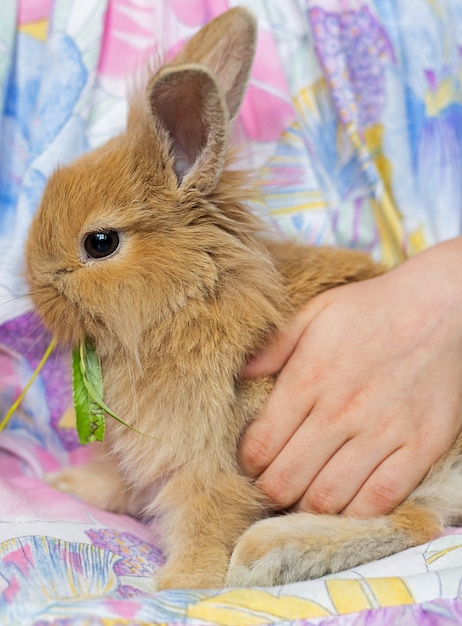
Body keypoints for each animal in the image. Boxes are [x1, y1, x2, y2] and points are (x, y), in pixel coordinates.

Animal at [24, 7, 462, 588]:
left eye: (100, 242)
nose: (33, 285)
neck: (192, 295)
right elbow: (125, 481)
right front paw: (75, 486)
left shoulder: (208, 461)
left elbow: (203, 520)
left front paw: (181, 584)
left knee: (417, 522)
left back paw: (267, 554)